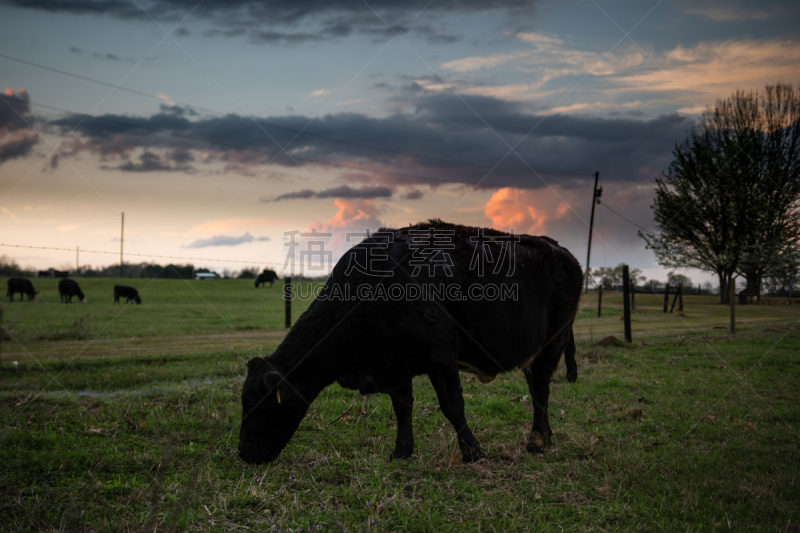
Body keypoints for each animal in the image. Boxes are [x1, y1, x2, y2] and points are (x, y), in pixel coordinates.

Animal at [238, 218, 580, 464]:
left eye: (261, 407)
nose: (244, 454)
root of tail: (558, 248)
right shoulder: (395, 363)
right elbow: (402, 406)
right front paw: (402, 451)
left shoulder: (441, 355)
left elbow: (452, 405)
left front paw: (473, 452)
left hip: (554, 339)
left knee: (540, 388)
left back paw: (538, 441)